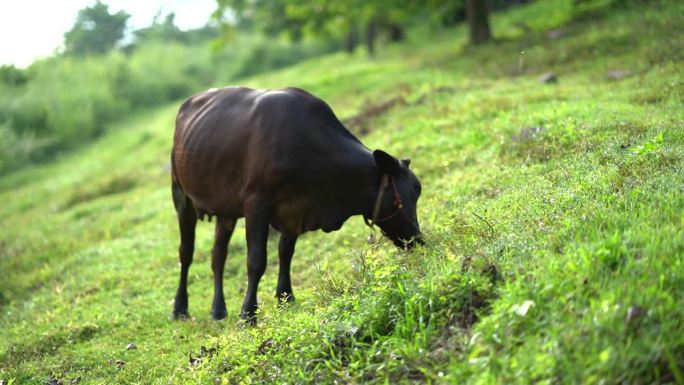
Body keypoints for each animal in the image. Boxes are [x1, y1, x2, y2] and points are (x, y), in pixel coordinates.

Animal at [170, 86, 422, 320]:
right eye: (405, 195)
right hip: (181, 196)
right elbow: (256, 261)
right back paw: (179, 308)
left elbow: (285, 252)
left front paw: (286, 297)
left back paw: (218, 309)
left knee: (218, 255)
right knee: (185, 253)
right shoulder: (256, 203)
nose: (418, 239)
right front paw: (248, 313)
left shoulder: (295, 209)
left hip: (226, 211)